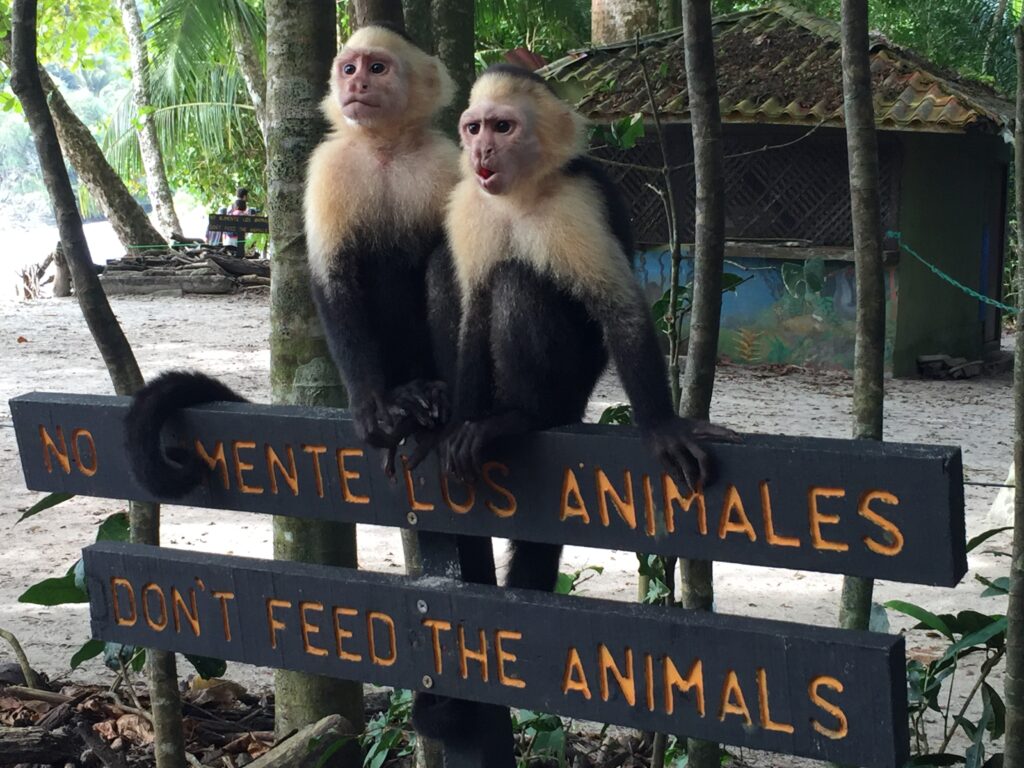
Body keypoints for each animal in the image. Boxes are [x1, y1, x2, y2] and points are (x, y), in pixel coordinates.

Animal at [123, 25, 464, 499]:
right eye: (350, 68)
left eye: (377, 68)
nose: (357, 85)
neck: (385, 148)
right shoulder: (328, 167)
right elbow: (333, 278)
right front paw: (371, 403)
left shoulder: (446, 162)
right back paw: (405, 394)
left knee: (442, 262)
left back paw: (433, 394)